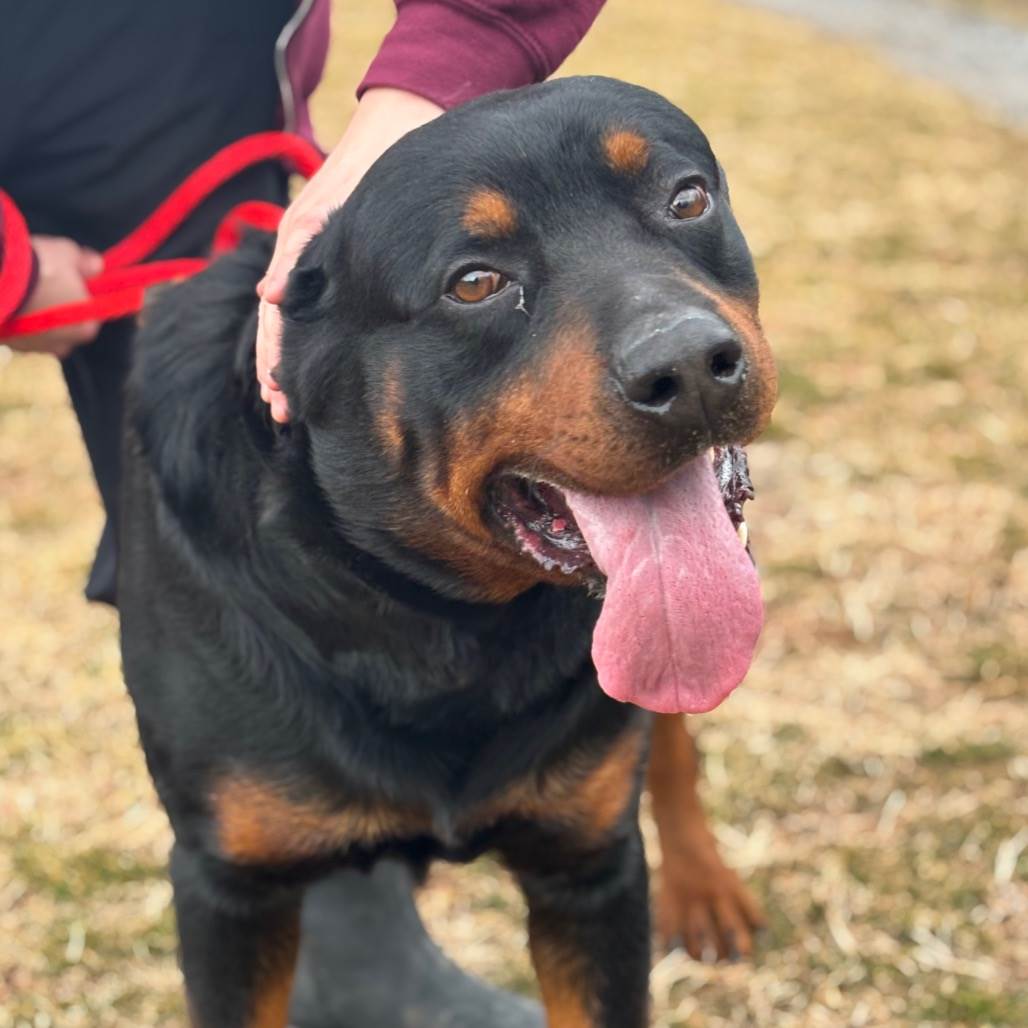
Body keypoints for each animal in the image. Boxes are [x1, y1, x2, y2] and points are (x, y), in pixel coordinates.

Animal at [119, 75, 776, 1027]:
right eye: (474, 283)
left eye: (687, 200)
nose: (689, 366)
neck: (440, 616)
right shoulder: (230, 888)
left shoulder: (589, 872)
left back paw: (704, 885)